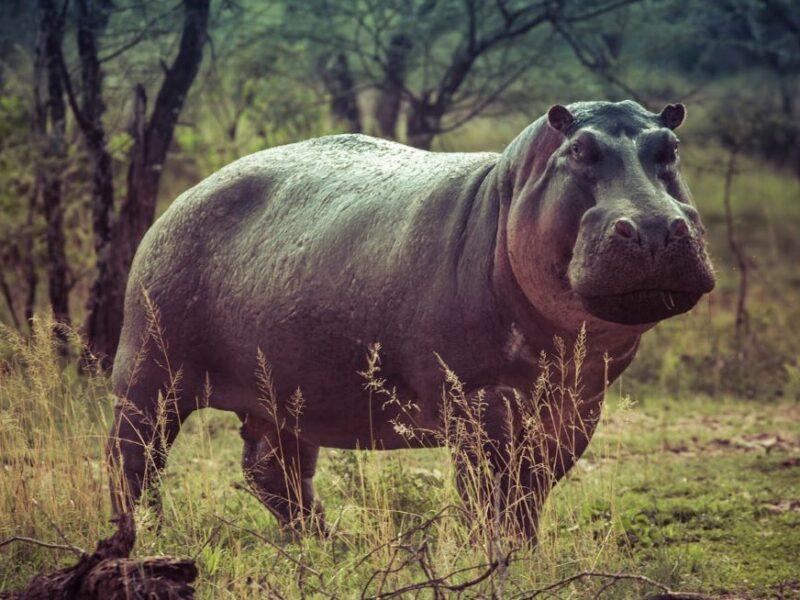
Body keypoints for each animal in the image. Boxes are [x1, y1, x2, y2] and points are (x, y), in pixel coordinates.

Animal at [108, 100, 715, 539]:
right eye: (580, 149)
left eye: (671, 148)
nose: (655, 226)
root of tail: (187, 193)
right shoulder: (479, 404)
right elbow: (488, 497)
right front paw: (491, 560)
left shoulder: (575, 407)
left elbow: (529, 497)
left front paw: (523, 554)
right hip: (149, 371)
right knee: (132, 459)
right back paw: (140, 539)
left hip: (281, 394)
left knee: (273, 471)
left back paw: (326, 544)